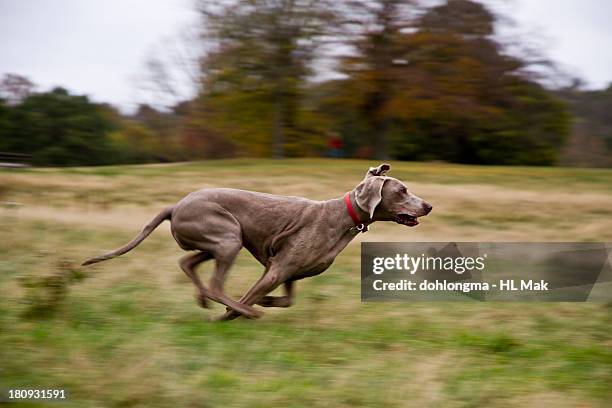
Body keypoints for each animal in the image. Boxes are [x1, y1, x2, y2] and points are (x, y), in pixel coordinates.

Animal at [83, 164, 432, 320]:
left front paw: (264, 302)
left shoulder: (287, 271)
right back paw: (239, 310)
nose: (428, 206)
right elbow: (251, 295)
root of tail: (175, 206)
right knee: (216, 285)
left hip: (219, 241)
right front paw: (234, 314)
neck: (342, 216)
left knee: (187, 262)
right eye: (402, 190)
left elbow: (287, 300)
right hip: (227, 237)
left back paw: (205, 300)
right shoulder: (277, 269)